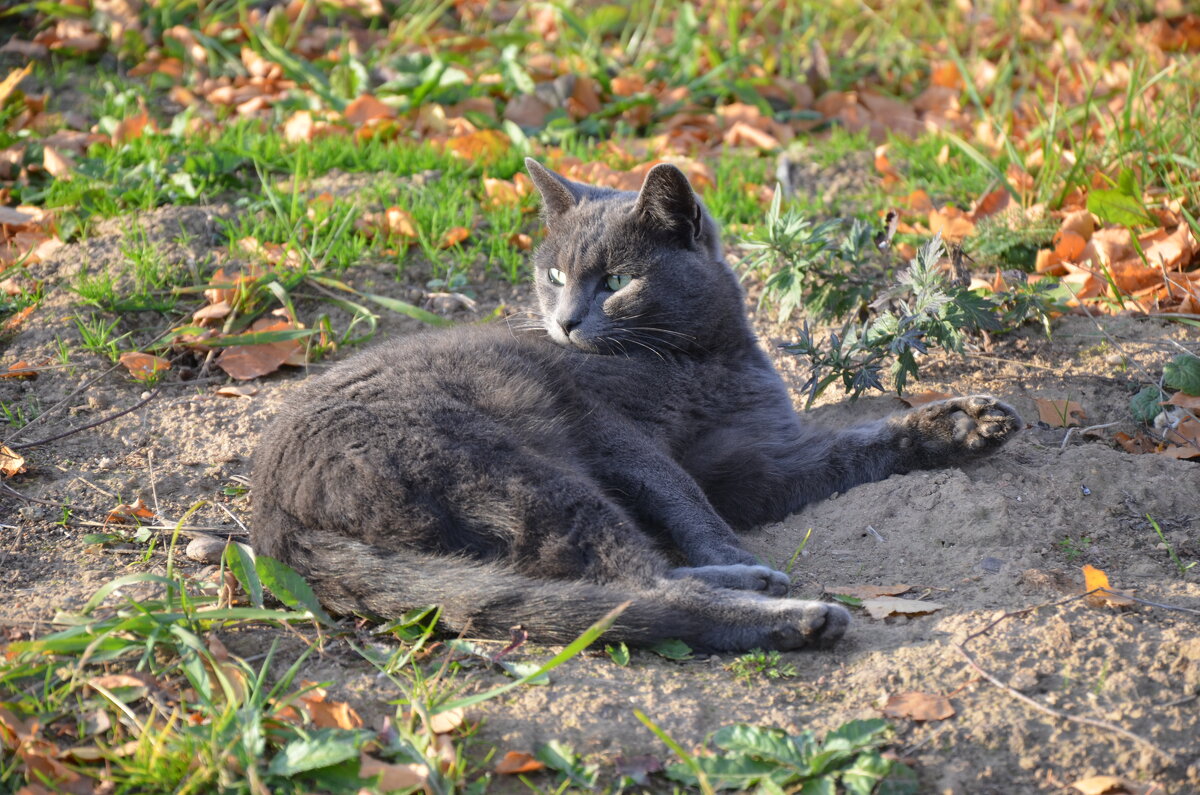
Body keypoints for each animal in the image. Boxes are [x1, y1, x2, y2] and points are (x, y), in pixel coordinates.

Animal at [253, 157, 1022, 653]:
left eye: (618, 280)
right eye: (554, 275)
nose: (565, 321)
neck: (702, 360)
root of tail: (272, 522)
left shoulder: (756, 464)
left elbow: (850, 448)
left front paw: (962, 422)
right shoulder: (611, 429)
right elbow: (684, 494)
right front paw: (731, 548)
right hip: (518, 467)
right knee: (631, 588)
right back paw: (788, 608)